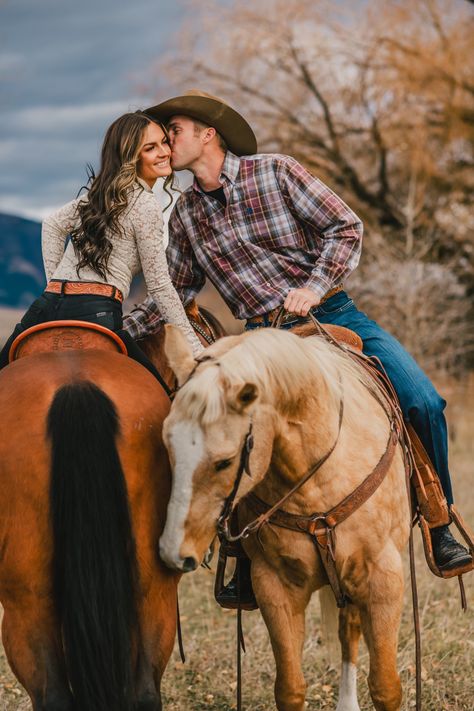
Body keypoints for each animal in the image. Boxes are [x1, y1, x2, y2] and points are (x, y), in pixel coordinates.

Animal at [159, 326, 412, 711]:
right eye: (168, 447)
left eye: (224, 461)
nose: (174, 551)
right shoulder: (274, 585)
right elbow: (290, 688)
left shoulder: (382, 580)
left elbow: (386, 687)